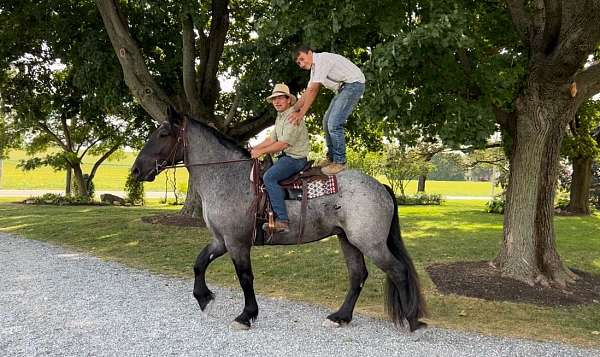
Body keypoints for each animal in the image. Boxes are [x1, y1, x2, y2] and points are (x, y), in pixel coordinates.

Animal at [131, 108, 426, 330]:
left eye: (163, 134)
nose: (135, 170)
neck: (228, 177)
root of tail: (380, 187)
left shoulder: (237, 242)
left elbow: (245, 277)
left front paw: (246, 315)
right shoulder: (221, 240)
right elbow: (199, 263)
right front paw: (204, 298)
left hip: (370, 243)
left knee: (397, 271)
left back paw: (412, 320)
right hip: (348, 240)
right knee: (358, 276)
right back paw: (341, 317)